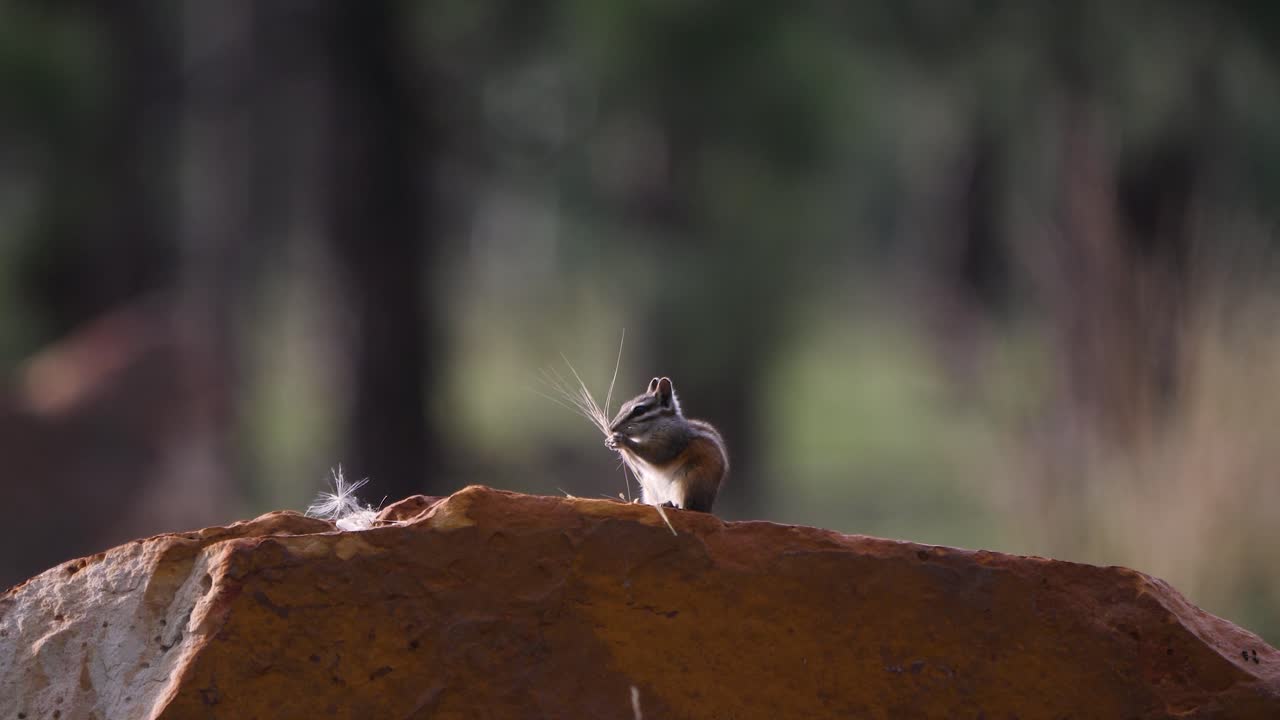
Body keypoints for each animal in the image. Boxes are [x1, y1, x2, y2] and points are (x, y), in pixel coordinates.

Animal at [605, 377, 728, 513]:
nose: (611, 428)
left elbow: (654, 455)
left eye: (639, 410)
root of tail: (707, 508)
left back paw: (671, 505)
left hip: (690, 480)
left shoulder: (669, 440)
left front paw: (622, 440)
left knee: (689, 507)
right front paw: (610, 441)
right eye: (623, 406)